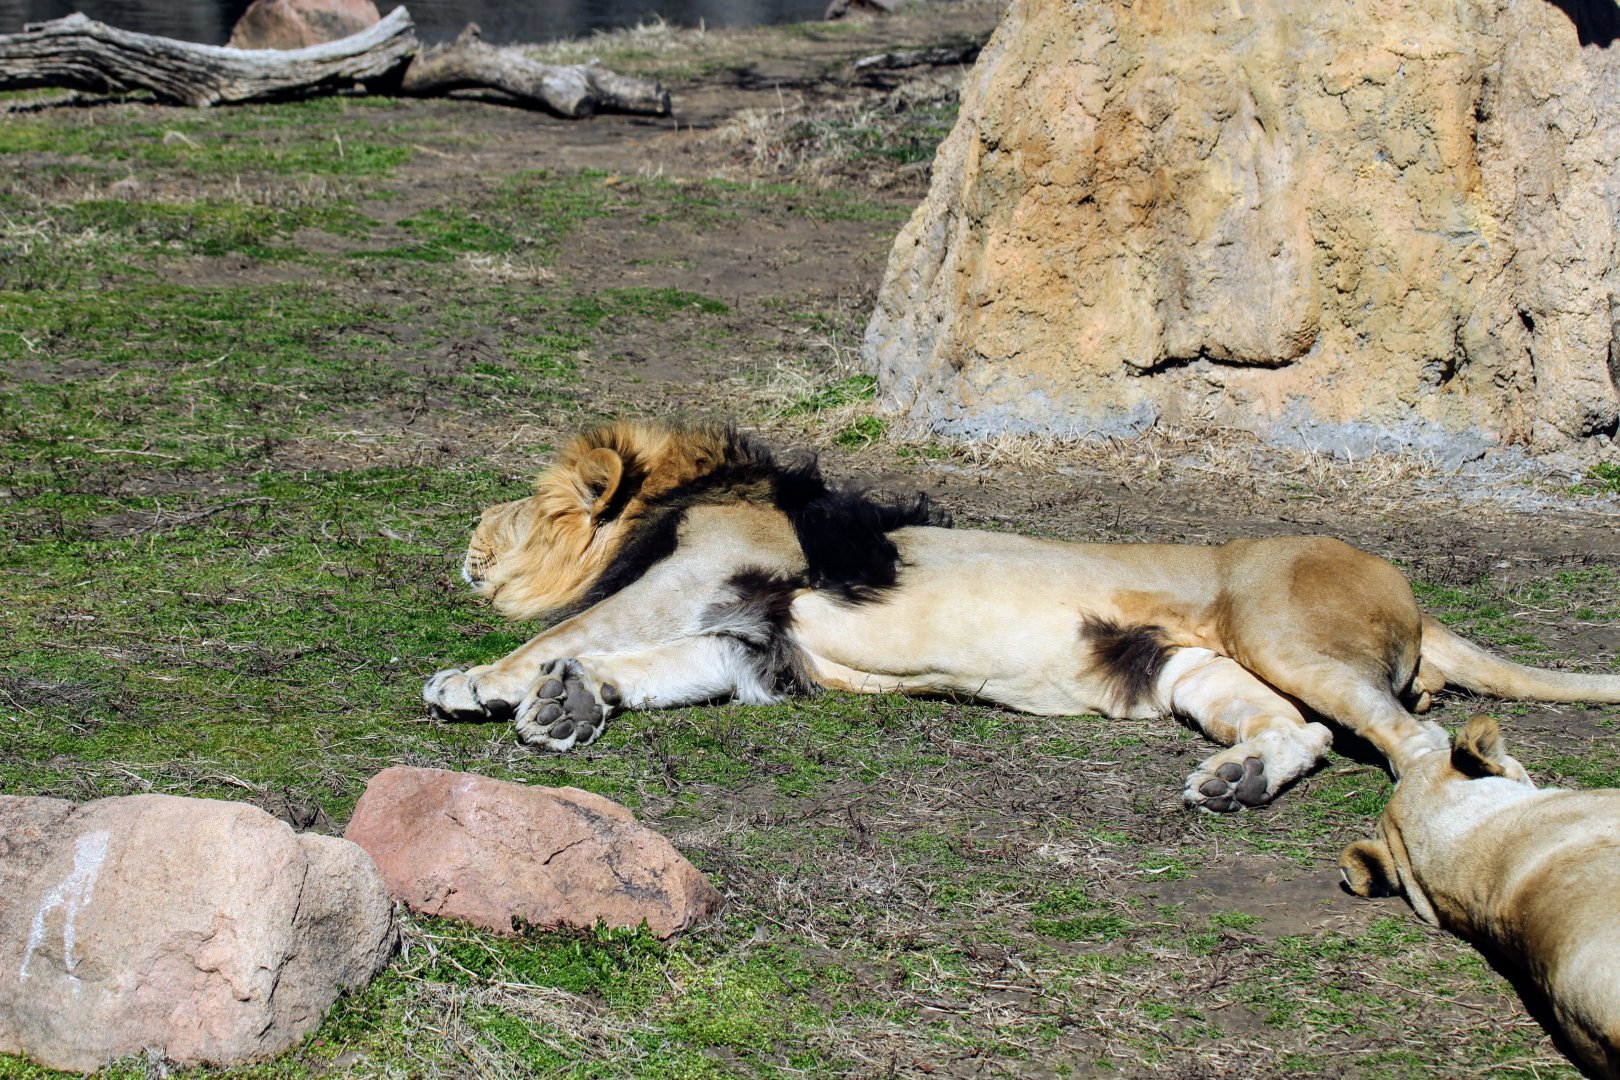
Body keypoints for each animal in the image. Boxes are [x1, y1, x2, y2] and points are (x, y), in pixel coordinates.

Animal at [423, 421, 1620, 812]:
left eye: (525, 504)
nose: (467, 530)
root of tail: (1408, 585)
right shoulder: (753, 643)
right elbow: (652, 662)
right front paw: (572, 708)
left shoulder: (712, 570)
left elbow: (576, 627)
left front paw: (480, 679)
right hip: (1194, 669)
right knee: (1308, 735)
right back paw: (1239, 778)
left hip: (1281, 631)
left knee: (1416, 739)